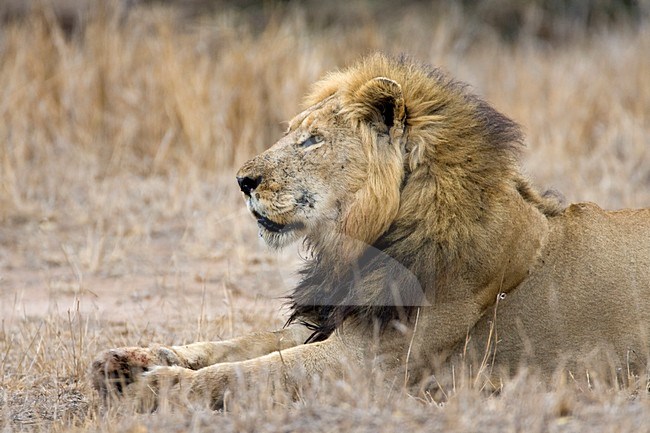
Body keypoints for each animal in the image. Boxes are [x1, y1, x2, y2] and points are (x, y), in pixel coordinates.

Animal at [91, 53, 648, 404]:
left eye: (312, 140)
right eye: (291, 133)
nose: (242, 181)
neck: (362, 243)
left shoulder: (368, 362)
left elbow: (245, 373)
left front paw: (156, 386)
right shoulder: (335, 320)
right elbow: (241, 343)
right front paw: (129, 360)